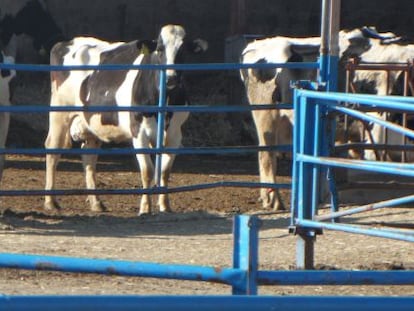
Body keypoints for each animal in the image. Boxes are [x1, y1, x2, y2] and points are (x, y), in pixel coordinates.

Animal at [43, 24, 209, 216]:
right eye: (160, 49)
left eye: (182, 51)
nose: (171, 78)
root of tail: (66, 42)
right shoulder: (139, 132)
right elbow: (148, 171)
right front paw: (145, 208)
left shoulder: (175, 135)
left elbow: (164, 172)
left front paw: (165, 206)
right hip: (60, 112)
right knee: (53, 150)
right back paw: (50, 201)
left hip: (91, 124)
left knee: (89, 157)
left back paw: (96, 202)